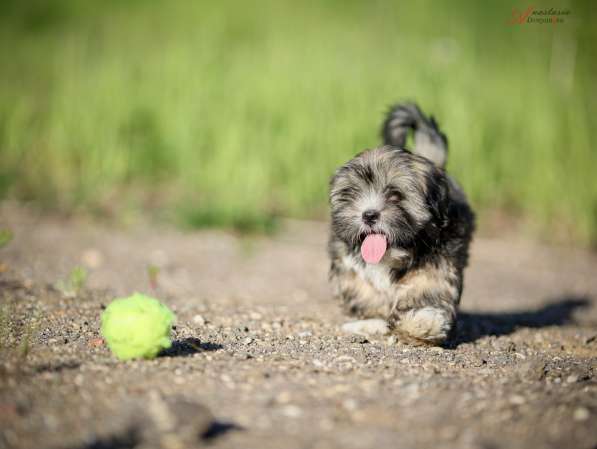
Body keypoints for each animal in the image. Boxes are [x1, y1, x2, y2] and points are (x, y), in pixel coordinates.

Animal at [328, 103, 472, 344]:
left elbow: (425, 289)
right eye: (352, 194)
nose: (369, 215)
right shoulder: (346, 260)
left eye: (395, 195)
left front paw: (422, 323)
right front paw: (374, 320)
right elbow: (362, 288)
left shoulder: (439, 259)